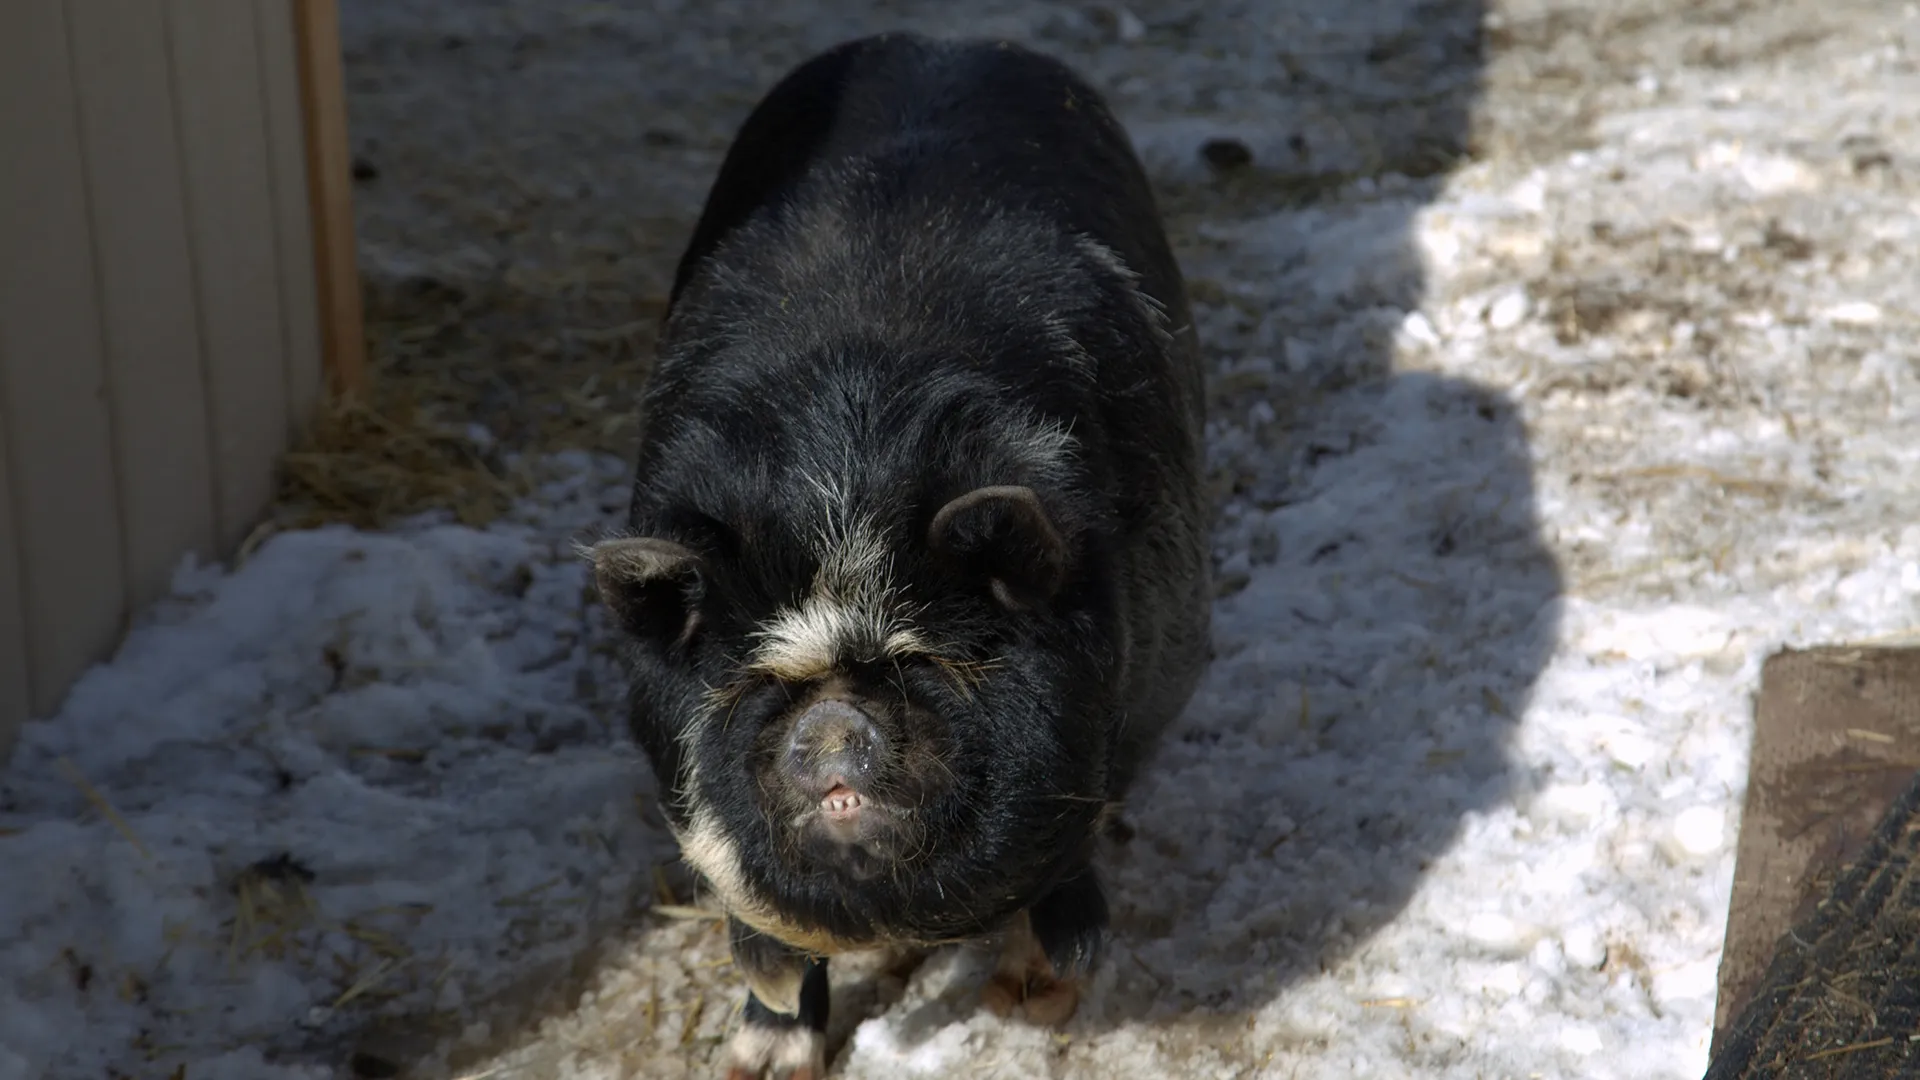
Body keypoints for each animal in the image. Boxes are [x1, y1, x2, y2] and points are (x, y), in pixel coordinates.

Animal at [586, 31, 1212, 1080]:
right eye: (762, 679)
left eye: (914, 660)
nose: (834, 728)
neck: (843, 478)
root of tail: (946, 39)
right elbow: (768, 941)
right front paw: (757, 1066)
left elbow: (1071, 873)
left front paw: (1029, 1003)